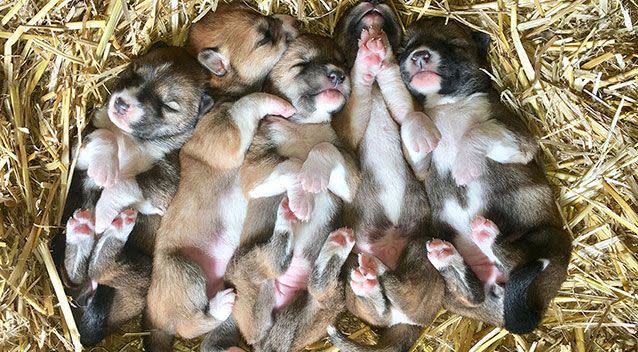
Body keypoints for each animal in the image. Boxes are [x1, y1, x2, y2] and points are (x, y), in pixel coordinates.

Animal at [145, 4, 300, 350]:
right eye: (264, 37)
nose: (291, 19)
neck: (220, 92)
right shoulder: (226, 136)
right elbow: (250, 103)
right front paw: (279, 104)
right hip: (184, 269)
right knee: (192, 323)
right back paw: (219, 305)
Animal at [328, 1, 448, 350]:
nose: (372, 6)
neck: (377, 90)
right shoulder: (347, 130)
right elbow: (358, 94)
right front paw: (369, 56)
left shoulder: (403, 103)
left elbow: (403, 102)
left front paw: (382, 51)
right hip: (357, 259)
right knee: (382, 301)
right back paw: (369, 280)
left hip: (421, 256)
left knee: (399, 291)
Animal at [400, 17, 576, 334]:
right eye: (405, 47)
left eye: (454, 44)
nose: (419, 55)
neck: (447, 104)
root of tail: (504, 309)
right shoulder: (420, 168)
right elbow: (413, 125)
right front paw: (419, 131)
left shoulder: (518, 138)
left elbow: (477, 131)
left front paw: (465, 165)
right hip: (452, 293)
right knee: (473, 293)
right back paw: (447, 258)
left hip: (549, 237)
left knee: (515, 259)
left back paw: (487, 235)